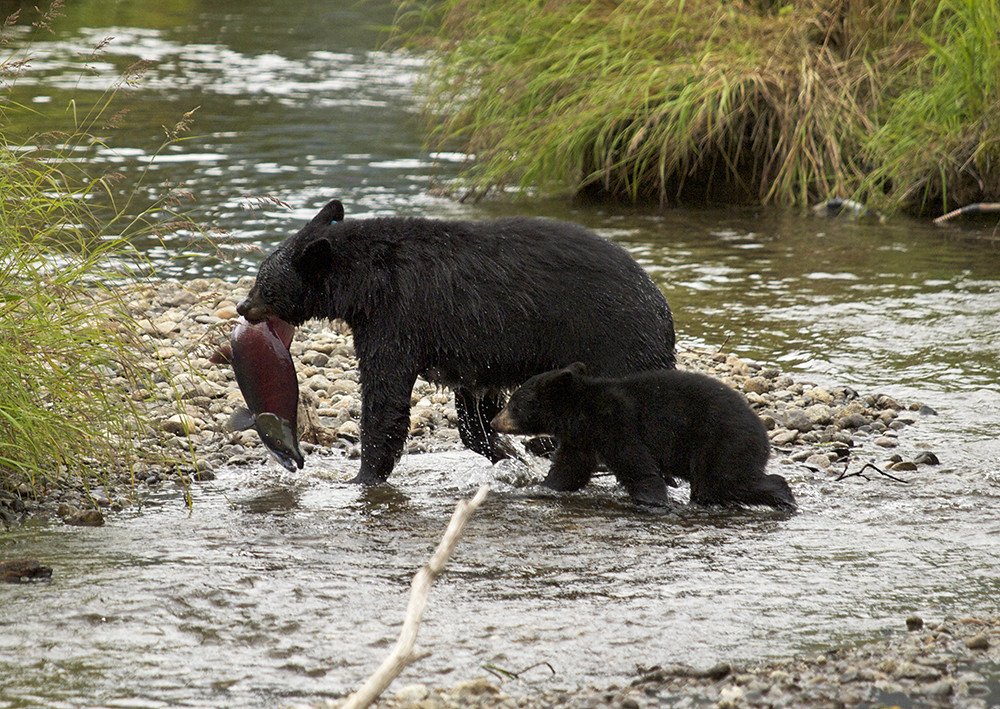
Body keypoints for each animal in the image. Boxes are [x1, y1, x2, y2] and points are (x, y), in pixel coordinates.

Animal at [237, 199, 675, 485]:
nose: (242, 306)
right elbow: (473, 413)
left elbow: (385, 396)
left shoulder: (396, 317)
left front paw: (363, 476)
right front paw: (505, 452)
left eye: (264, 283)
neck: (366, 281)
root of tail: (659, 302)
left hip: (614, 340)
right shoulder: (472, 352)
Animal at [490, 363, 796, 510]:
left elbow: (636, 463)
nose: (493, 422)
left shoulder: (614, 421)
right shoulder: (581, 439)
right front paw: (543, 487)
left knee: (722, 481)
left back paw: (784, 499)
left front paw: (653, 502)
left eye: (513, 404)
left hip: (722, 442)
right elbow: (569, 470)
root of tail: (762, 431)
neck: (579, 412)